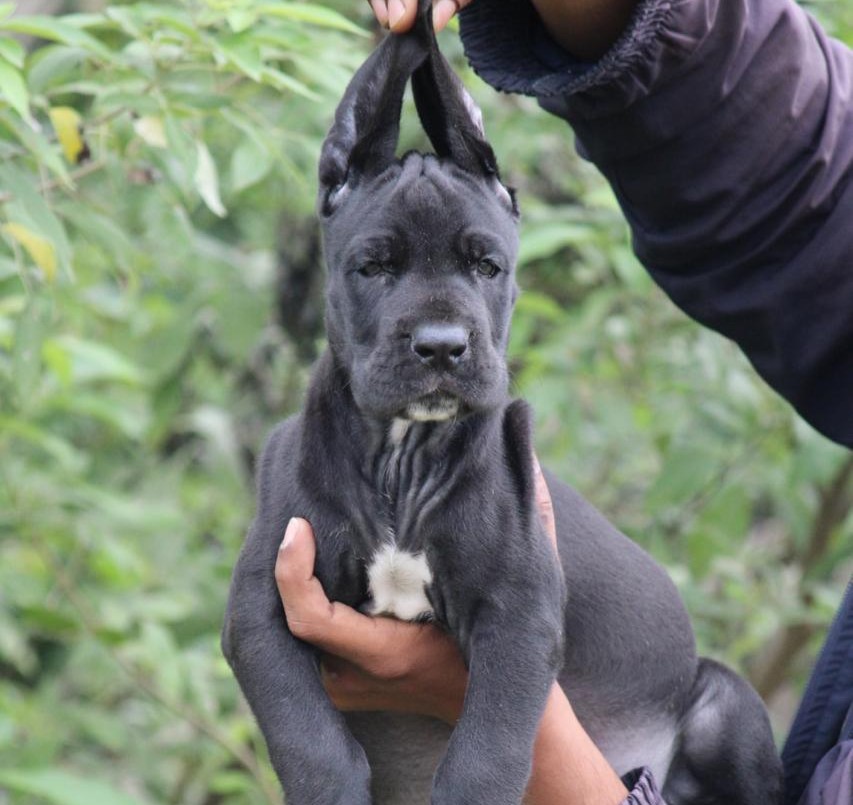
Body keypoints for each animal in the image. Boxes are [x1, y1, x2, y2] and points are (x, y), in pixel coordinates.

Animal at [223, 3, 784, 800]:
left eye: (487, 266)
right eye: (374, 266)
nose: (441, 346)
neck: (403, 454)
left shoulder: (517, 613)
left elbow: (486, 754)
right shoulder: (261, 603)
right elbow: (309, 738)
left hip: (723, 702)